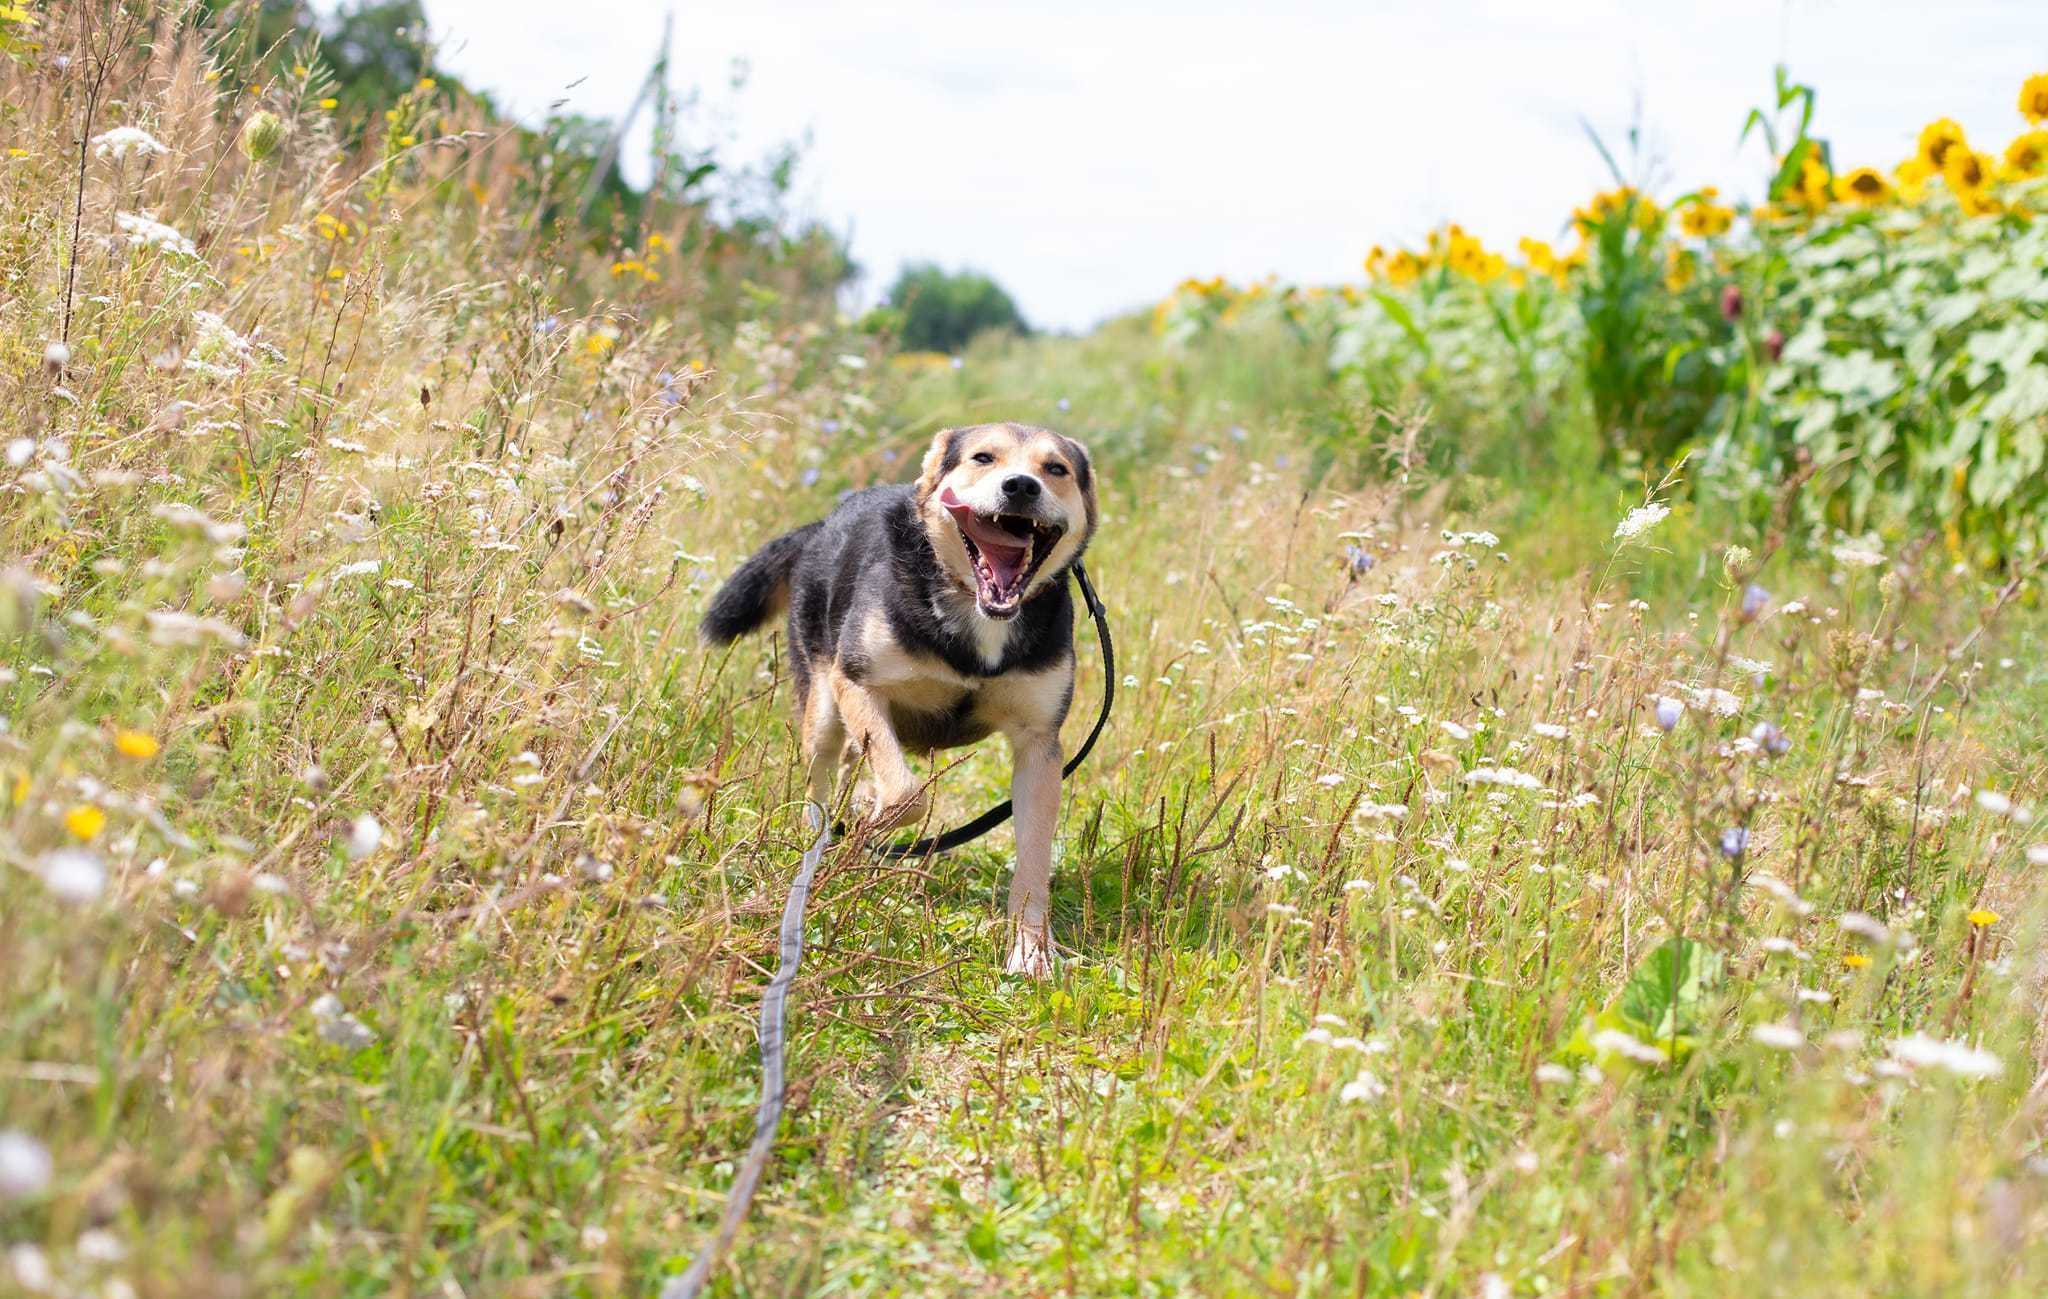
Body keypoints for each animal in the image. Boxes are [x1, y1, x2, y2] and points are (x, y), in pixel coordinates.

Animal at [700, 422, 1097, 971]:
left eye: (1055, 468)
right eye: (983, 458)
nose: (1020, 487)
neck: (973, 613)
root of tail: (822, 525)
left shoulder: (1039, 744)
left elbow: (1034, 860)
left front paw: (1030, 948)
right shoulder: (858, 683)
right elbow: (907, 794)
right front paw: (868, 819)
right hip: (823, 704)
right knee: (821, 778)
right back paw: (823, 835)